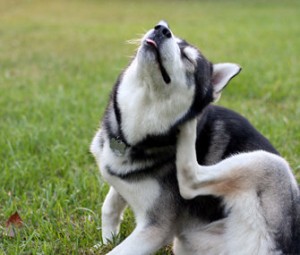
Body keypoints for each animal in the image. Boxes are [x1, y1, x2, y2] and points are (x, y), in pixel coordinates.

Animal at [90, 20, 280, 254]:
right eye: (173, 38)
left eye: (187, 58)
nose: (162, 29)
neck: (131, 137)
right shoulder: (120, 179)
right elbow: (109, 206)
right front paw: (106, 240)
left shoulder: (156, 227)